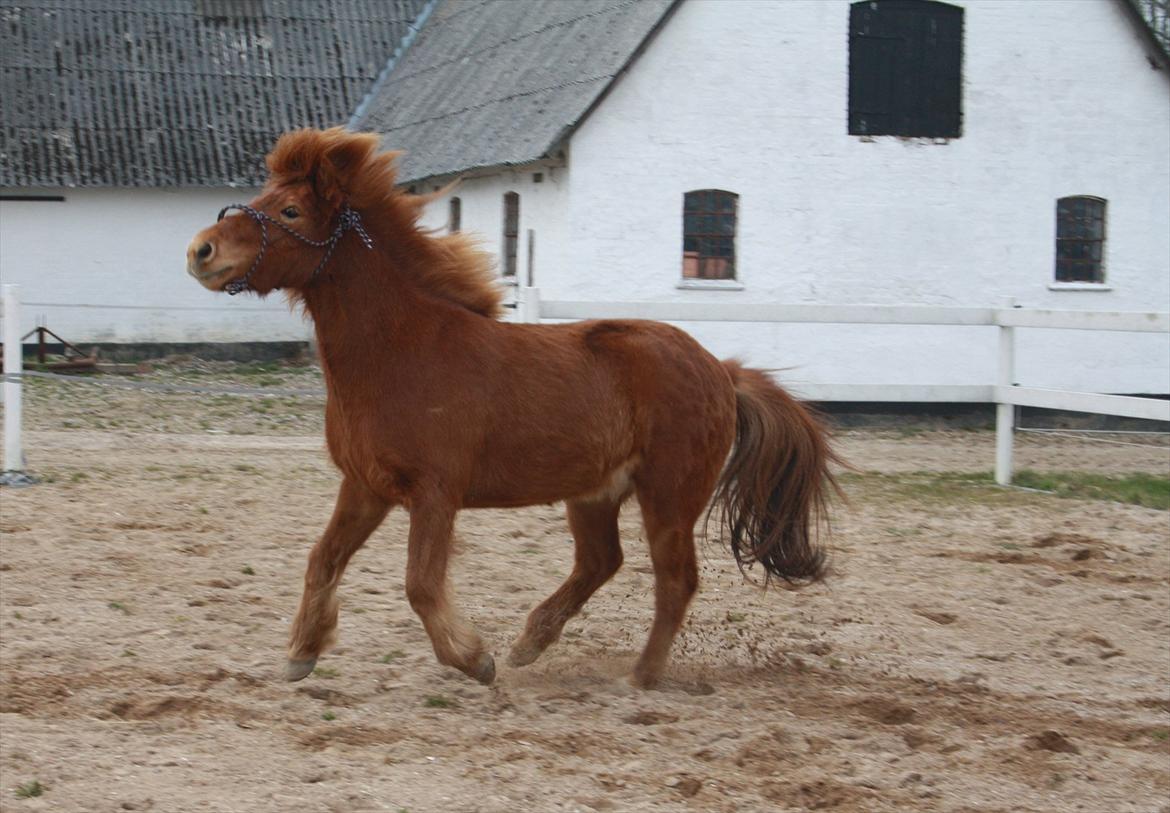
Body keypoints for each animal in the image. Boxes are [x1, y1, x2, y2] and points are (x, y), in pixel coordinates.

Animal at [186, 127, 839, 689]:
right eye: (264, 198)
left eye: (291, 212)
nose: (200, 251)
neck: (401, 350)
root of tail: (722, 371)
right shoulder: (366, 486)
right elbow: (322, 560)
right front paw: (302, 653)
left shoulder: (435, 493)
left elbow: (420, 584)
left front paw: (473, 659)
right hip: (595, 493)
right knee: (601, 561)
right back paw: (532, 643)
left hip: (669, 495)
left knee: (675, 580)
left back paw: (639, 676)